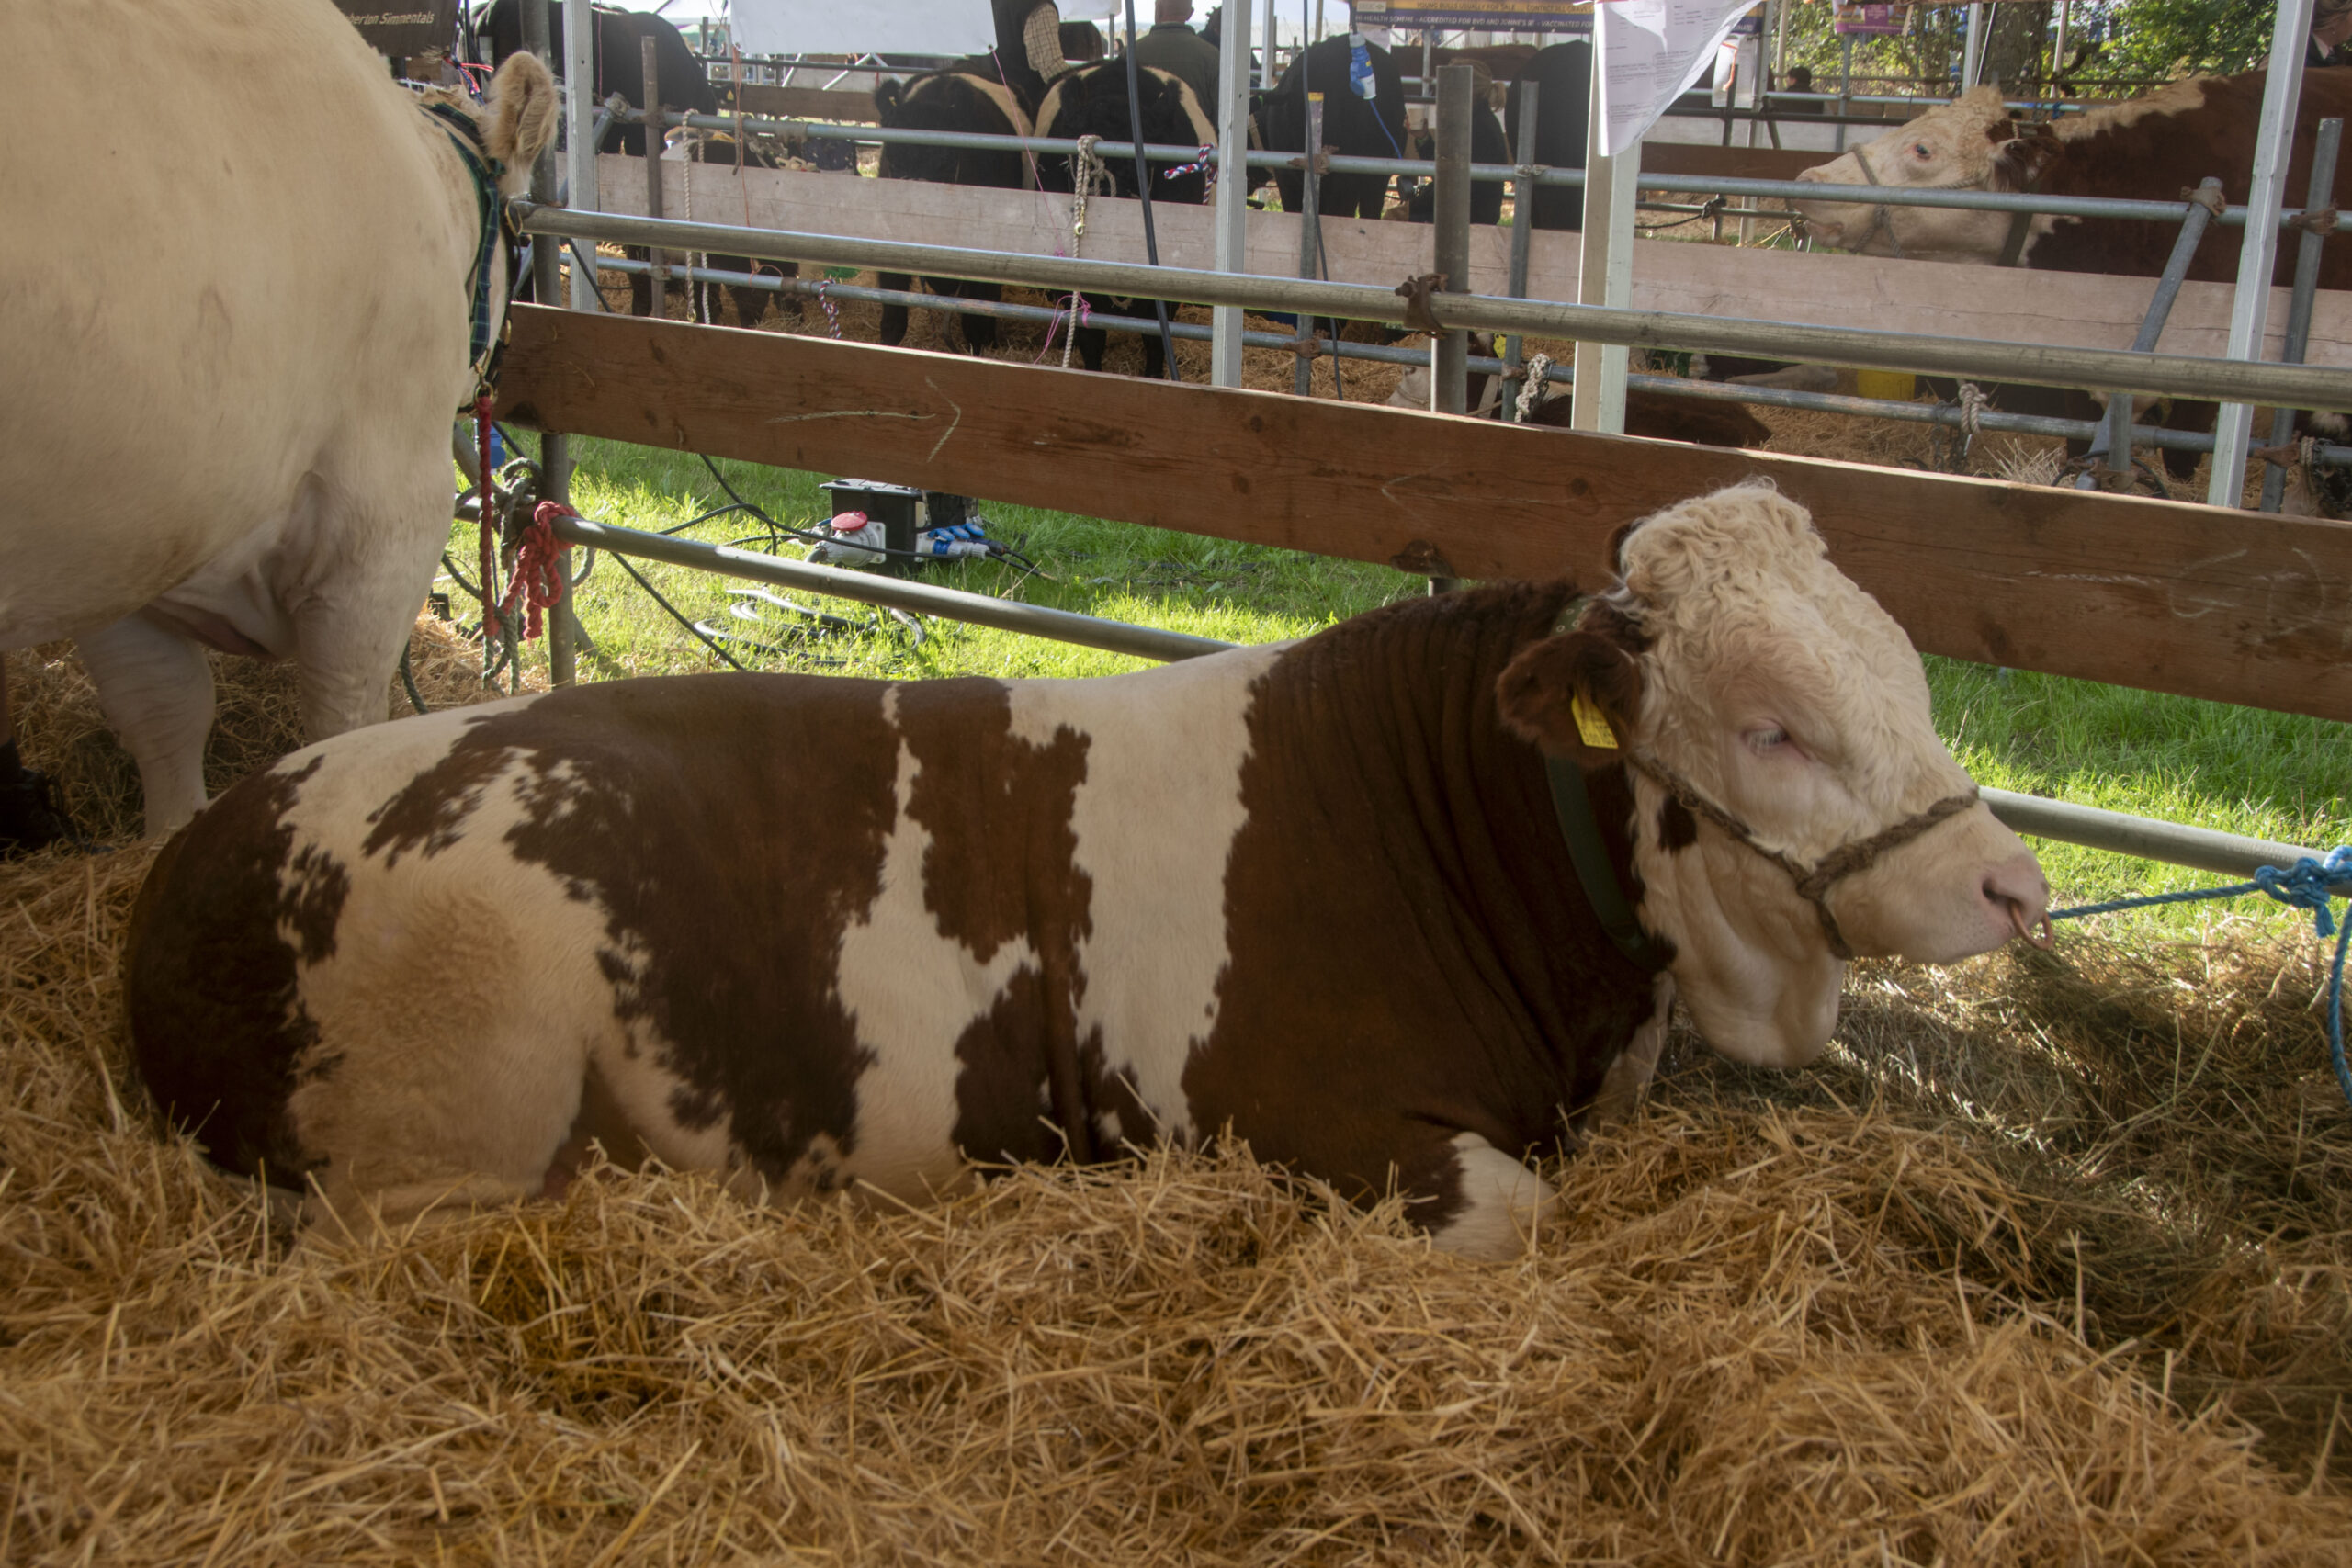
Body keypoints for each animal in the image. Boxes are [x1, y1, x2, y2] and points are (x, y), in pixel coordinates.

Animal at [127, 482, 2049, 1260]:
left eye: (1913, 672)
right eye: (1774, 723)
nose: (2016, 889)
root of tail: (200, 849)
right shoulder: (1316, 1122)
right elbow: (1513, 1210)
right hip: (451, 1131)